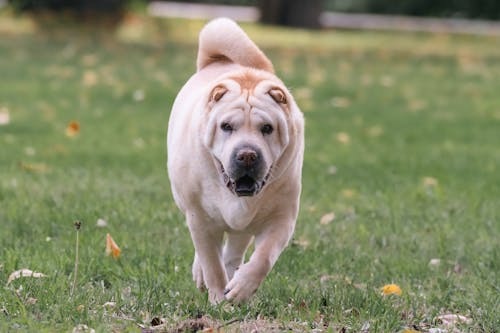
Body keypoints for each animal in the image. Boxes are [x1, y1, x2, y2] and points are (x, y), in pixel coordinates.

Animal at [167, 18, 304, 304]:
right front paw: (219, 300)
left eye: (267, 128)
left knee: (235, 250)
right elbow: (212, 264)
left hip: (246, 226)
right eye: (226, 126)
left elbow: (263, 258)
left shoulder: (281, 218)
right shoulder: (200, 219)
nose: (247, 154)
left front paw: (241, 288)